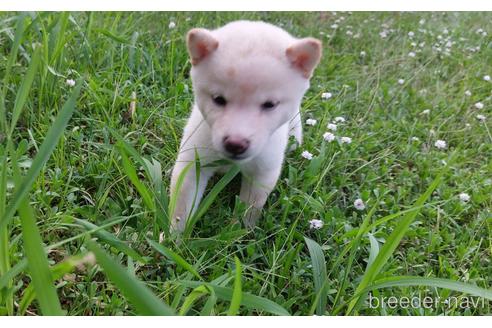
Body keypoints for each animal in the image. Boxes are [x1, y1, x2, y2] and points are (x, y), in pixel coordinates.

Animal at [170, 20, 322, 232]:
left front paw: (238, 233)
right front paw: (173, 236)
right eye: (218, 99)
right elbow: (181, 207)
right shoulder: (193, 164)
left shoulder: (262, 173)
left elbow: (249, 208)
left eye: (270, 104)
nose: (235, 144)